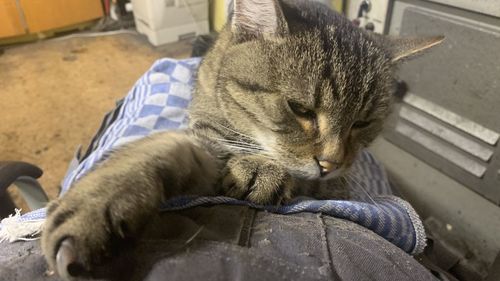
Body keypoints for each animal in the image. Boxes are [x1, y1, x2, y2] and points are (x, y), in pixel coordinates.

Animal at [42, 0, 442, 276]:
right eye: (300, 109)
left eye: (363, 122)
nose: (330, 163)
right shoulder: (204, 137)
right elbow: (165, 145)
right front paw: (98, 202)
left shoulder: (333, 185)